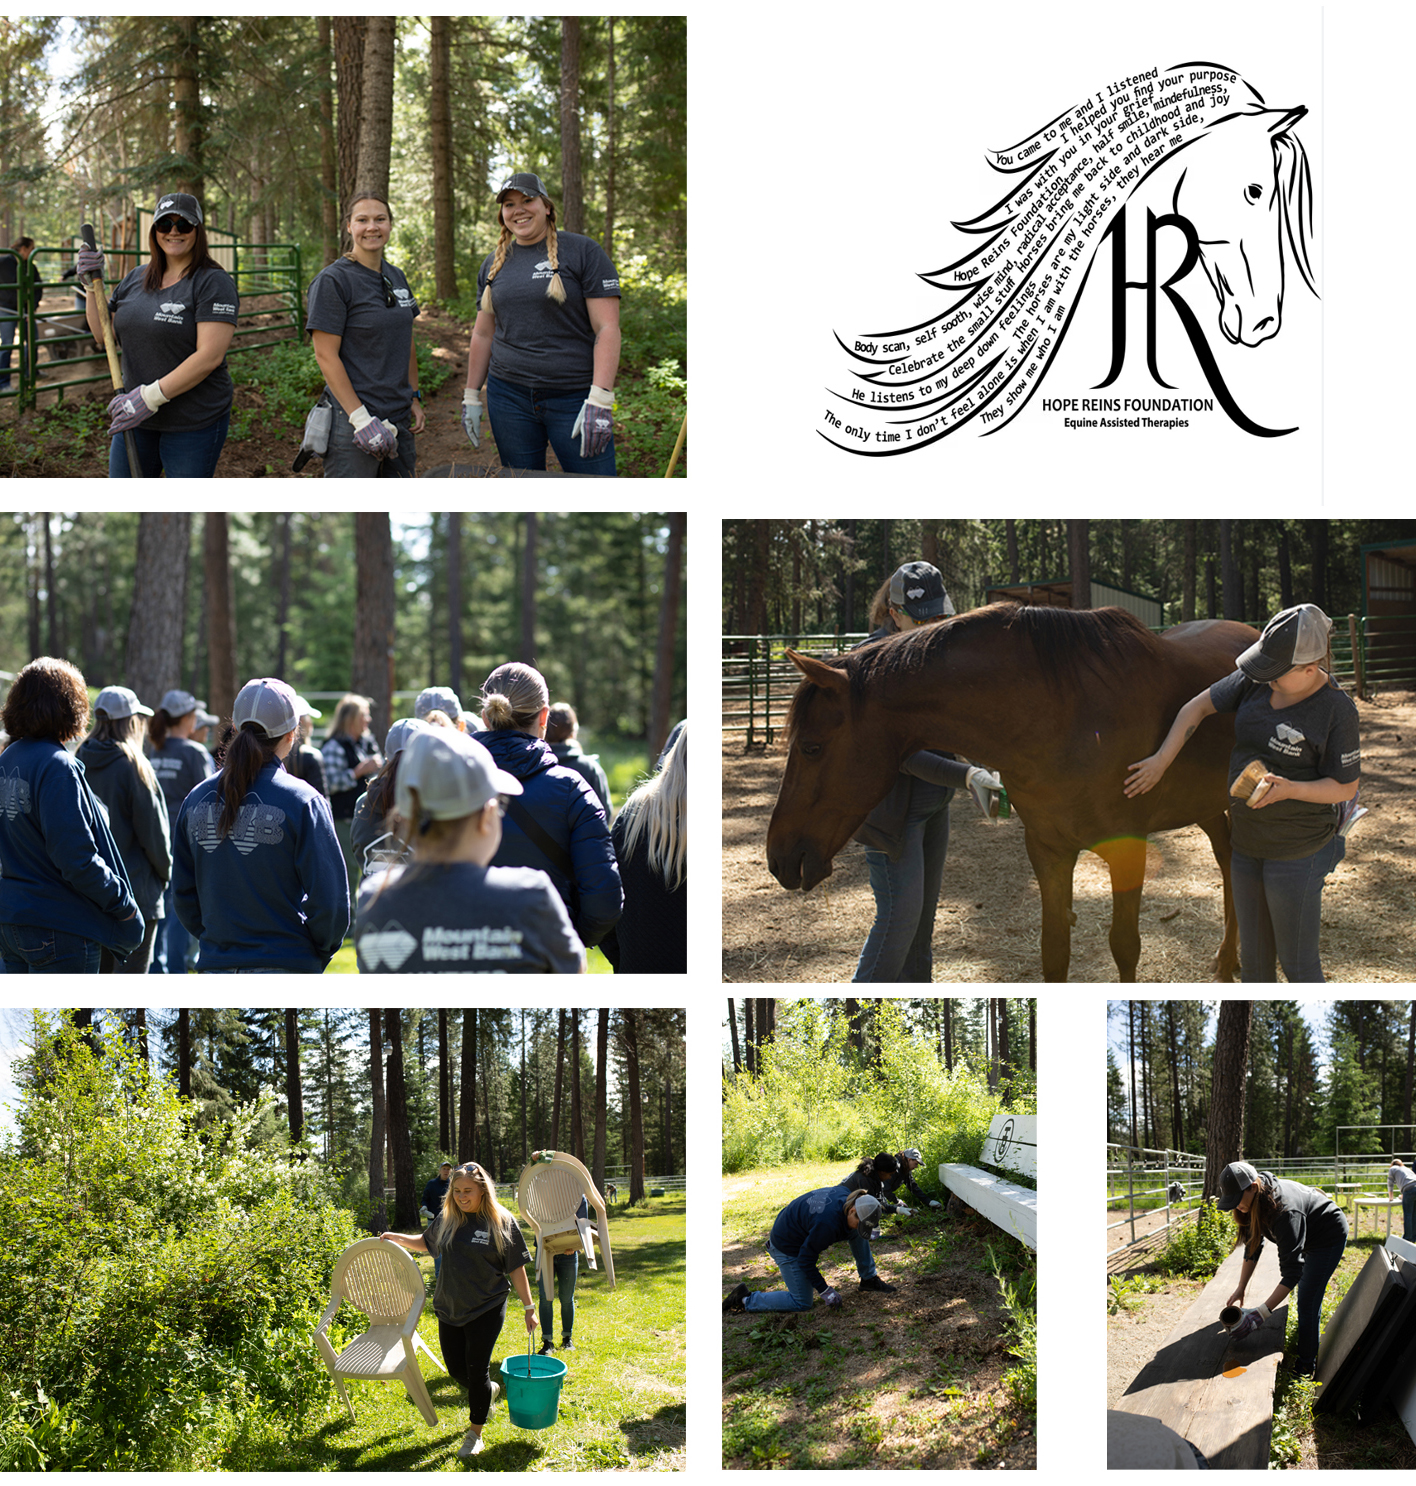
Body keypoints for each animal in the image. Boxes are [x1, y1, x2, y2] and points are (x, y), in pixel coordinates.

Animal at [766, 597, 1254, 980]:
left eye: (811, 747)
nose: (780, 858)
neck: (1065, 713)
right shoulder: (1047, 850)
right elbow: (1054, 951)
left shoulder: (1128, 849)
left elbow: (1124, 947)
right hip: (1206, 804)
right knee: (1227, 856)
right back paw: (1227, 958)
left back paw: (1230, 960)